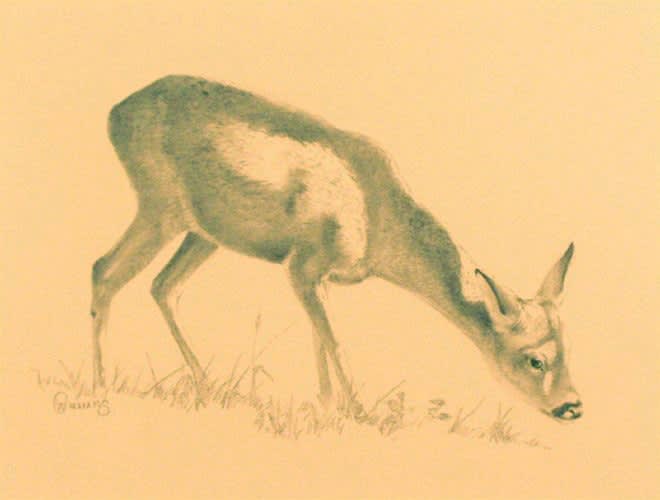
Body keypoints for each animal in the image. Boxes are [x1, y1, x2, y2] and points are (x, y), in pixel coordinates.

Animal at [91, 75, 582, 421]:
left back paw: (205, 388)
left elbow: (318, 340)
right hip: (161, 207)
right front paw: (360, 413)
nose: (572, 406)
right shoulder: (303, 265)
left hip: (204, 233)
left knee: (162, 286)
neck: (377, 218)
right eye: (535, 360)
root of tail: (115, 112)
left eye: (569, 349)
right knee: (104, 270)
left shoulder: (316, 275)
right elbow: (336, 341)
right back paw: (99, 392)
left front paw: (328, 410)